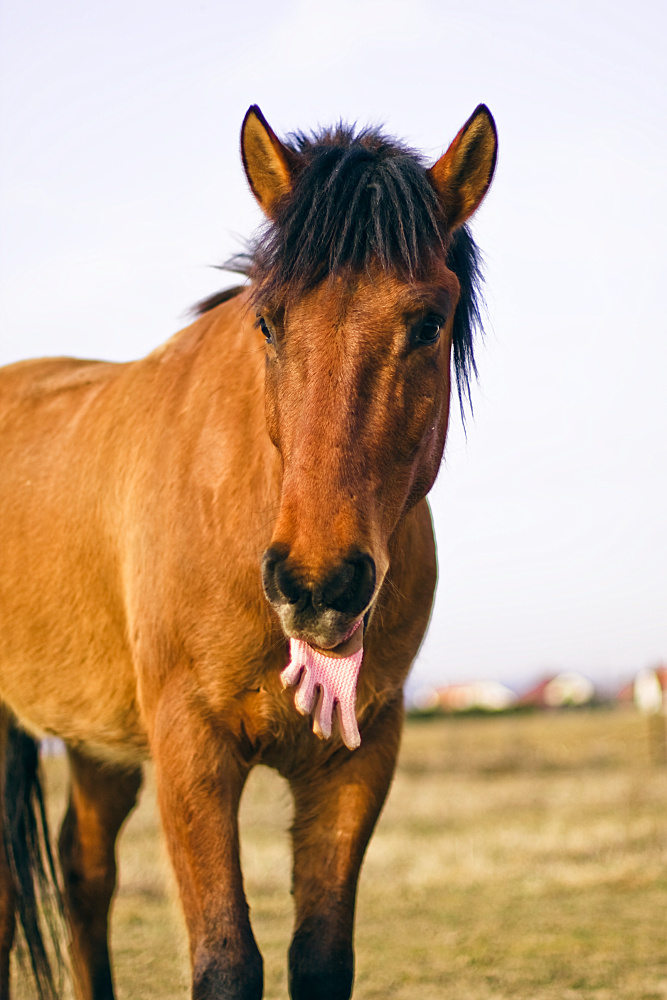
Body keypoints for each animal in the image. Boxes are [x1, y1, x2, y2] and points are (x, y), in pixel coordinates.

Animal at [0, 103, 496, 1000]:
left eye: (427, 324)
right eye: (268, 321)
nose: (318, 585)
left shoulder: (357, 759)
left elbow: (321, 958)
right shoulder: (190, 749)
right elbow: (227, 962)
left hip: (96, 745)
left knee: (84, 879)